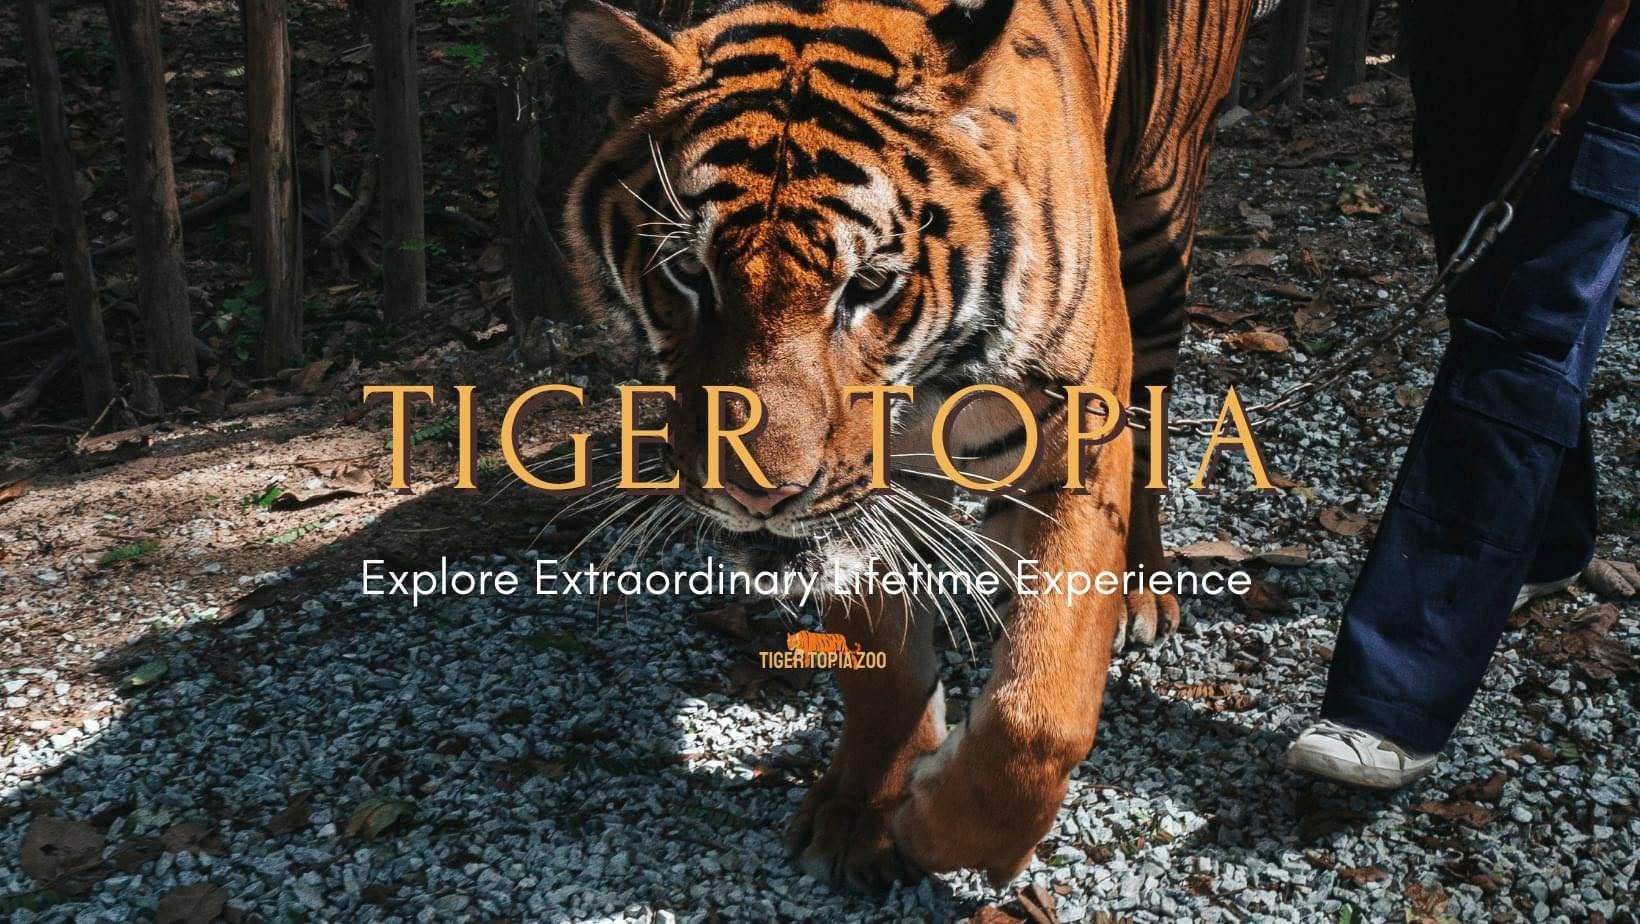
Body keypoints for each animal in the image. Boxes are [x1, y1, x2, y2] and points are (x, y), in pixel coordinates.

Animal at [561, 0, 1258, 891]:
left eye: (867, 286)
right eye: (689, 272)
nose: (758, 495)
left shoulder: (1070, 452)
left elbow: (1040, 713)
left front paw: (934, 826)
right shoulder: (861, 504)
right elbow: (885, 669)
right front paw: (864, 812)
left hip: (1159, 225)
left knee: (1152, 427)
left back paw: (1141, 587)